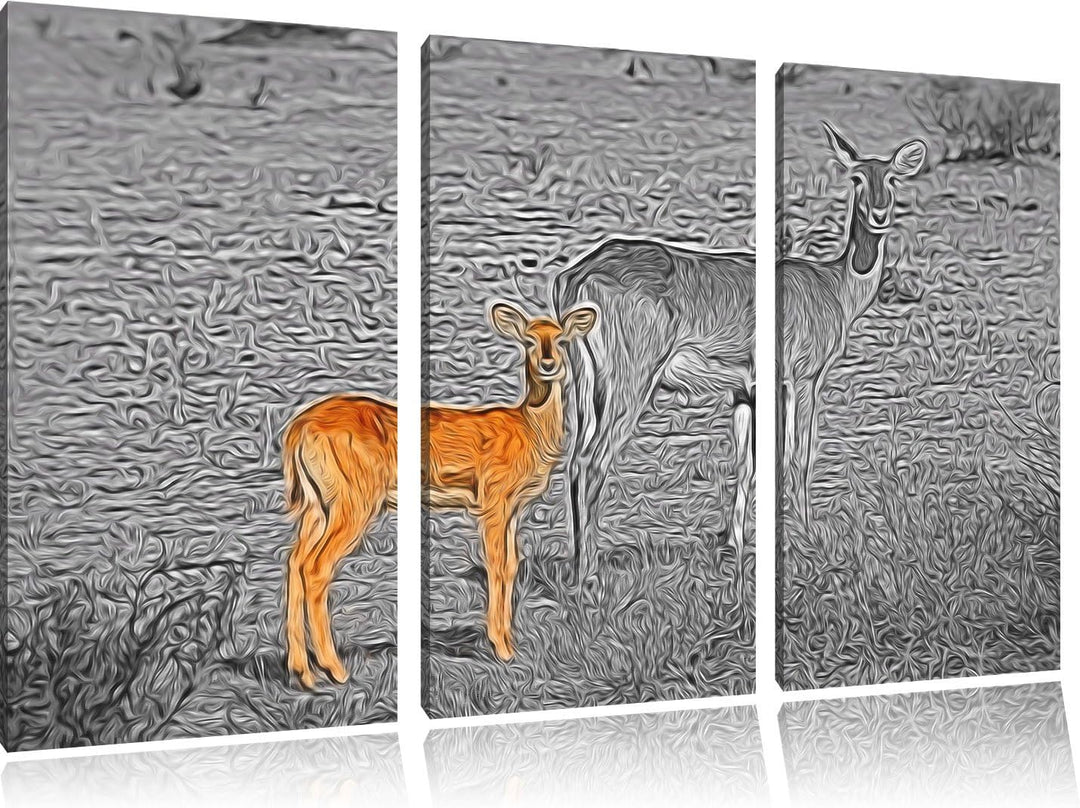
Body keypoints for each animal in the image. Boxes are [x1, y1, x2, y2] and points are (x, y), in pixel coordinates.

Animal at [282, 299, 597, 687]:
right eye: (528, 340)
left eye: (562, 339)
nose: (549, 363)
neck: (527, 430)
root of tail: (297, 429)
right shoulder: (493, 498)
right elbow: (496, 564)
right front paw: (502, 649)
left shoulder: (512, 508)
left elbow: (512, 564)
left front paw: (511, 643)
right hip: (353, 497)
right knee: (316, 567)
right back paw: (336, 670)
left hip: (316, 503)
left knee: (295, 561)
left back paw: (302, 671)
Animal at [553, 237, 755, 584]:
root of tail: (574, 278)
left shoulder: (743, 393)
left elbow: (745, 466)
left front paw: (734, 547)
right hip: (631, 378)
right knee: (592, 461)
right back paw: (589, 572)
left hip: (585, 384)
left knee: (575, 460)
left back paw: (576, 563)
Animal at [779, 122, 927, 524]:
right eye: (857, 177)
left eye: (891, 177)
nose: (879, 215)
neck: (834, 284)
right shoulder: (804, 376)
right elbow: (799, 453)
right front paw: (805, 525)